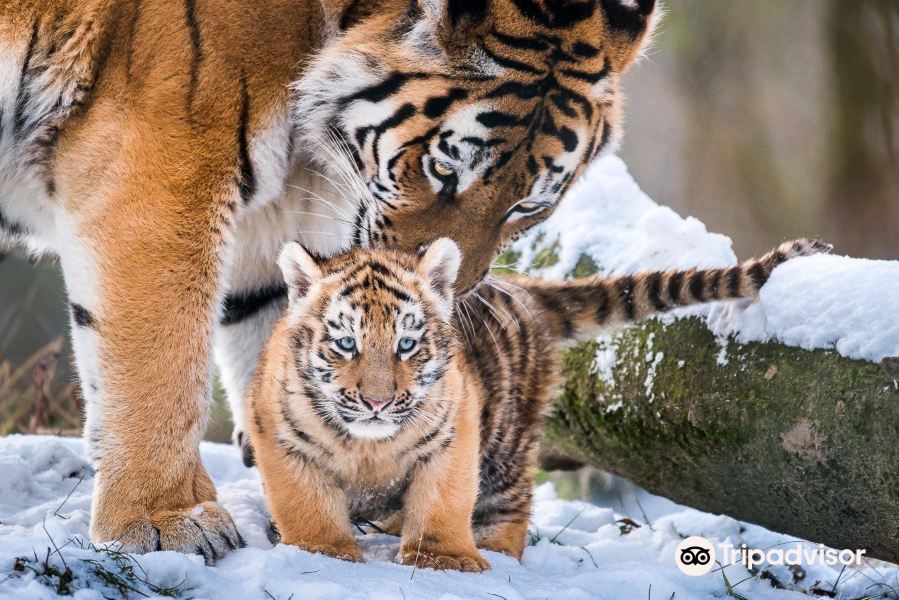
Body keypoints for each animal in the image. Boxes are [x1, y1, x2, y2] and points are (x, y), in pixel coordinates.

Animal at [1, 0, 660, 556]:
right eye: (444, 169)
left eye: (527, 206)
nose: (453, 286)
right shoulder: (159, 171)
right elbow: (159, 363)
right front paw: (166, 522)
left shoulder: (272, 229)